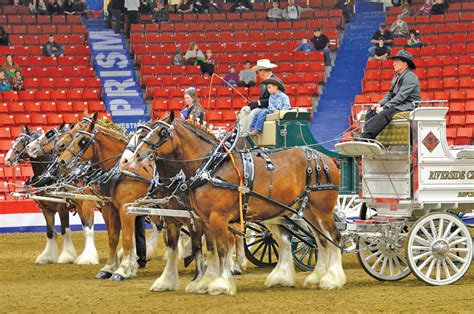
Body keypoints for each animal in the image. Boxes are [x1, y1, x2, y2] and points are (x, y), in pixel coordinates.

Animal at [128, 114, 346, 296]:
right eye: (143, 133)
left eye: (162, 132)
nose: (136, 157)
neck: (211, 167)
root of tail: (327, 159)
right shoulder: (201, 219)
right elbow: (210, 249)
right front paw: (203, 282)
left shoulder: (216, 217)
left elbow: (222, 248)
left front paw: (220, 283)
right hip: (302, 211)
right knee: (318, 240)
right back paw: (308, 277)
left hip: (322, 210)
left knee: (334, 237)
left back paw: (332, 278)